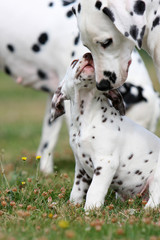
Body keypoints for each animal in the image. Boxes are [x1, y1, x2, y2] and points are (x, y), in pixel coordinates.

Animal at [50, 53, 160, 211]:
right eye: (74, 61)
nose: (89, 55)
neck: (87, 119)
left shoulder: (106, 163)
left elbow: (94, 191)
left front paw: (90, 211)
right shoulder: (81, 167)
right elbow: (76, 191)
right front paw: (72, 206)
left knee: (154, 203)